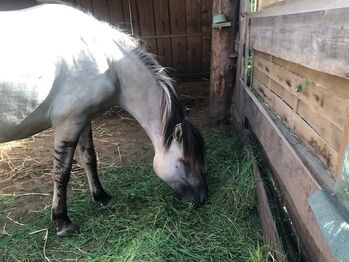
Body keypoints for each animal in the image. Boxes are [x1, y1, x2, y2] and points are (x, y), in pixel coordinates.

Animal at [0, 2, 207, 235]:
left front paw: (101, 197)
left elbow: (90, 159)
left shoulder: (82, 119)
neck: (104, 58)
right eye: (184, 162)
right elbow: (62, 172)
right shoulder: (68, 123)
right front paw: (63, 221)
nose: (203, 197)